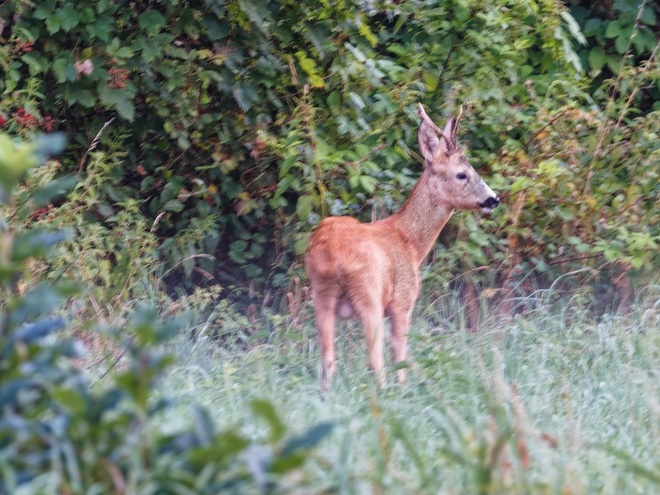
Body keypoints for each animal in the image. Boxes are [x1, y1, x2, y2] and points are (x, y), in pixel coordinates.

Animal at [306, 103, 498, 392]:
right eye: (462, 174)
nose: (493, 199)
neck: (410, 242)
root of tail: (334, 254)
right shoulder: (402, 301)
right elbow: (400, 357)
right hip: (370, 292)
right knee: (375, 360)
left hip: (321, 294)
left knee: (327, 360)